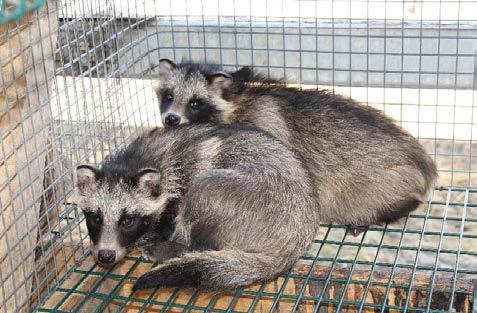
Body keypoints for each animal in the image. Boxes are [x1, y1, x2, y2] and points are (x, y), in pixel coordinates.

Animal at [74, 124, 318, 290]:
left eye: (127, 221)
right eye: (95, 218)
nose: (106, 255)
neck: (135, 162)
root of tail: (296, 240)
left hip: (254, 197)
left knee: (203, 191)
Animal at [154, 58, 436, 225]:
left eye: (195, 102)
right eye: (169, 96)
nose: (171, 119)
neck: (236, 97)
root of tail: (424, 162)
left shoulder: (260, 129)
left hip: (379, 182)